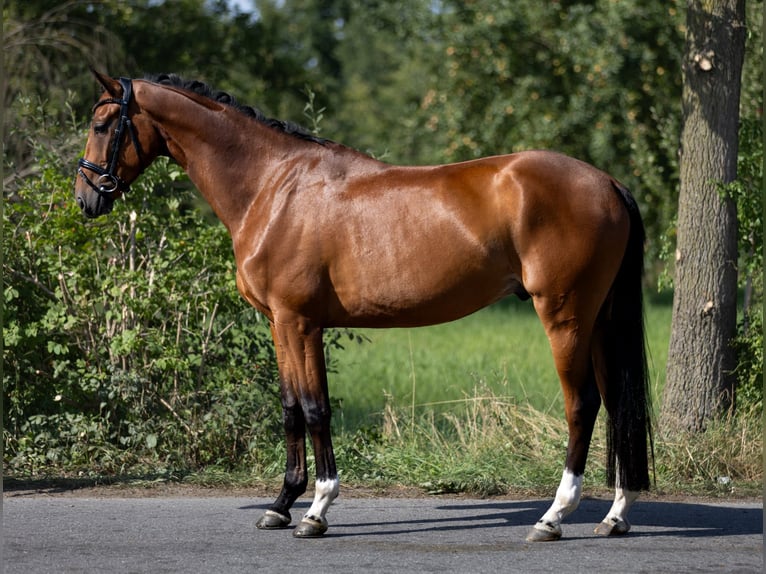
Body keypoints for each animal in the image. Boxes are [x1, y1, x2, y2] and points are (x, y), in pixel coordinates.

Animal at [75, 69, 653, 541]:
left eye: (103, 124)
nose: (87, 198)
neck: (274, 186)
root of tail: (608, 182)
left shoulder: (300, 323)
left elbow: (315, 409)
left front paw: (316, 510)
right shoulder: (279, 326)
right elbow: (290, 408)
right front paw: (281, 505)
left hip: (564, 315)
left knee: (583, 405)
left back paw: (553, 517)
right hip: (598, 319)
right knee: (616, 404)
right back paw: (615, 516)